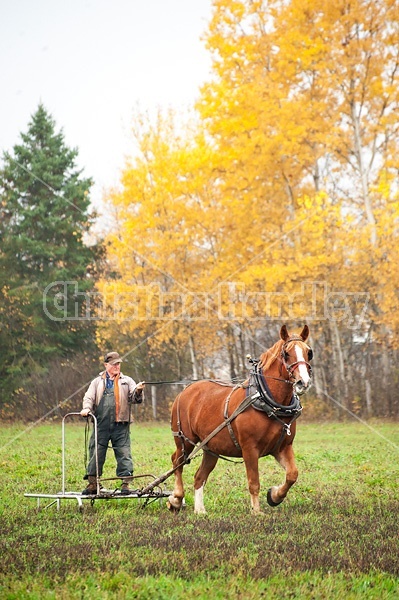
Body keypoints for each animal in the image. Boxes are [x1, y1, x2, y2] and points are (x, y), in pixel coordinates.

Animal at [167, 326, 314, 512]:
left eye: (309, 353)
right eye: (286, 354)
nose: (304, 382)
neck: (265, 400)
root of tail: (185, 390)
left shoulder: (282, 448)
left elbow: (292, 474)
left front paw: (274, 496)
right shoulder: (249, 449)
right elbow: (254, 482)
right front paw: (257, 511)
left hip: (210, 448)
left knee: (199, 476)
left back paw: (200, 510)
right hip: (184, 440)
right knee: (177, 462)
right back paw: (176, 498)